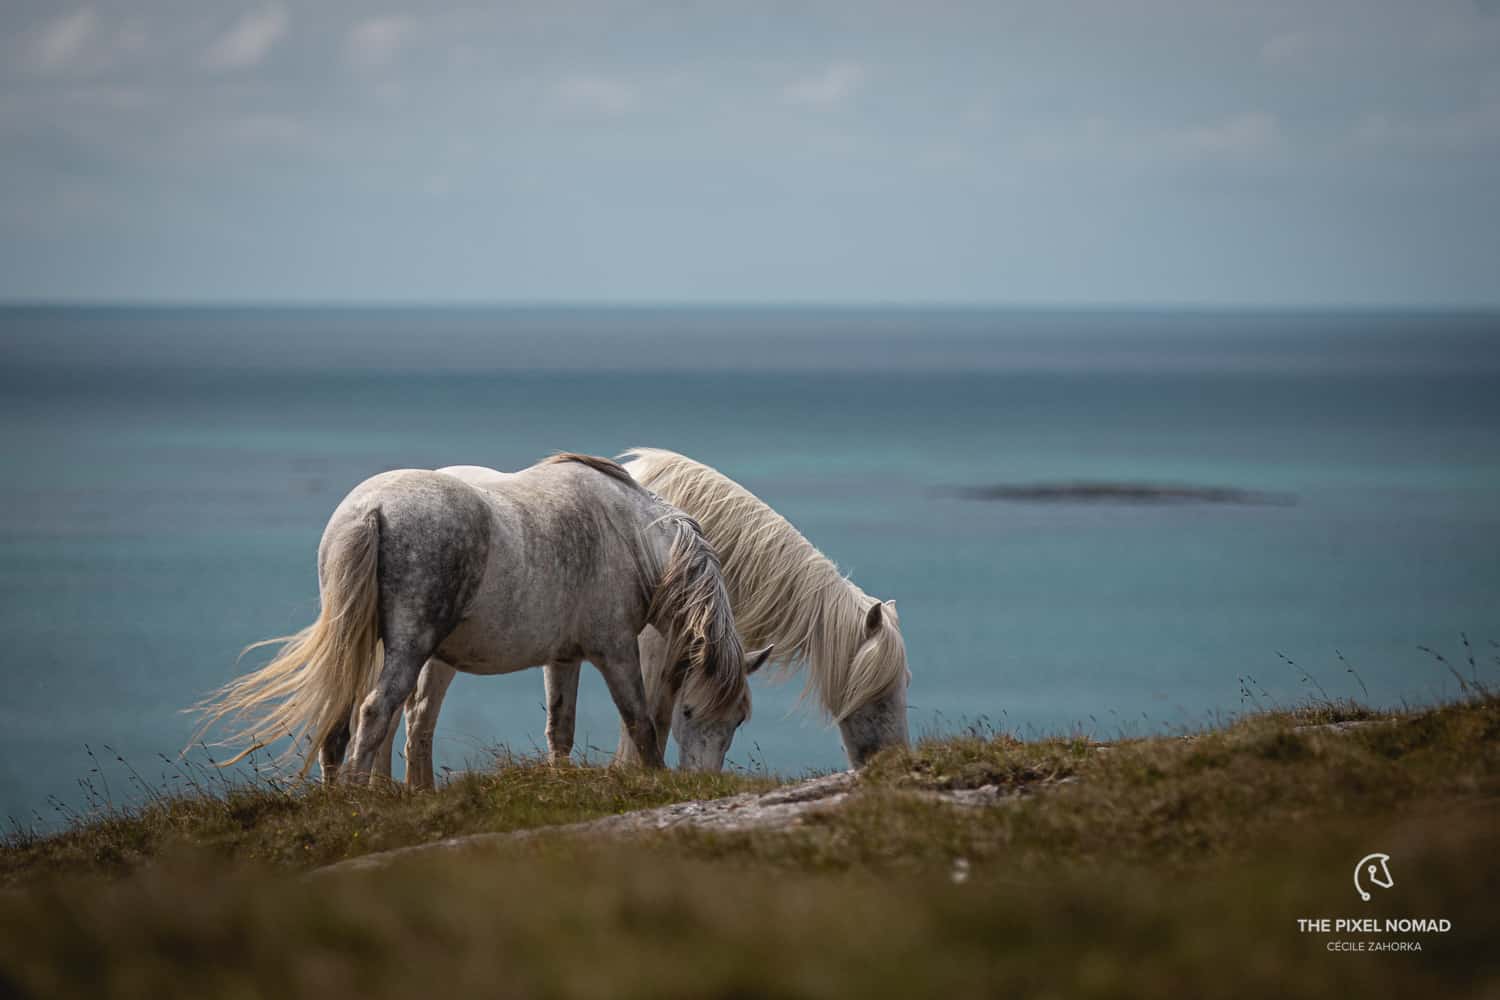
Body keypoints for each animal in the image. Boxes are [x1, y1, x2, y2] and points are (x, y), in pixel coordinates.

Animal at [192, 449, 762, 785]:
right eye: (689, 711)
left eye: (736, 720)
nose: (705, 784)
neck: (633, 537)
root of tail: (371, 510)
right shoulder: (615, 650)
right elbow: (640, 724)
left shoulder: (564, 657)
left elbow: (561, 728)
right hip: (409, 647)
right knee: (375, 712)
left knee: (346, 717)